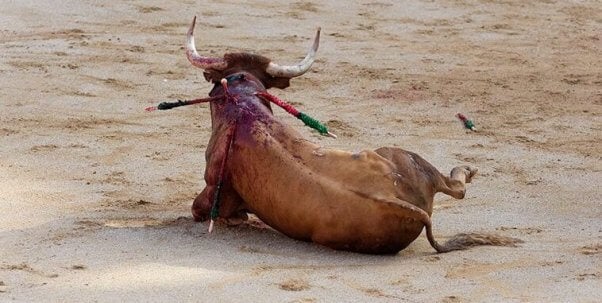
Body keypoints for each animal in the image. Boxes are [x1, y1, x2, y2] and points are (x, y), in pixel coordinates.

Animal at [162, 16, 516, 254]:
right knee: (455, 188)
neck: (245, 104)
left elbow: (201, 209)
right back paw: (469, 169)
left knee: (457, 188)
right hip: (408, 160)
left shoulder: (211, 190)